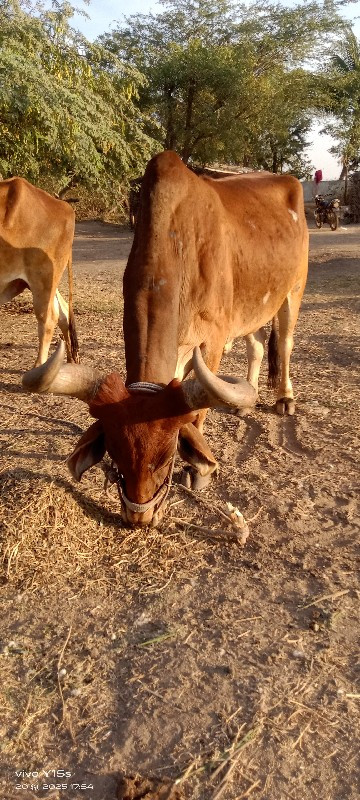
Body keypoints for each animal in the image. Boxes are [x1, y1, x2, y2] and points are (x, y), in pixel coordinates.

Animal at [21, 152, 308, 524]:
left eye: (168, 456)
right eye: (115, 454)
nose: (140, 518)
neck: (180, 241)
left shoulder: (211, 341)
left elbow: (198, 414)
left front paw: (197, 472)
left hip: (293, 289)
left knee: (284, 342)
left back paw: (285, 398)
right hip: (254, 306)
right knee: (257, 346)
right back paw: (247, 400)